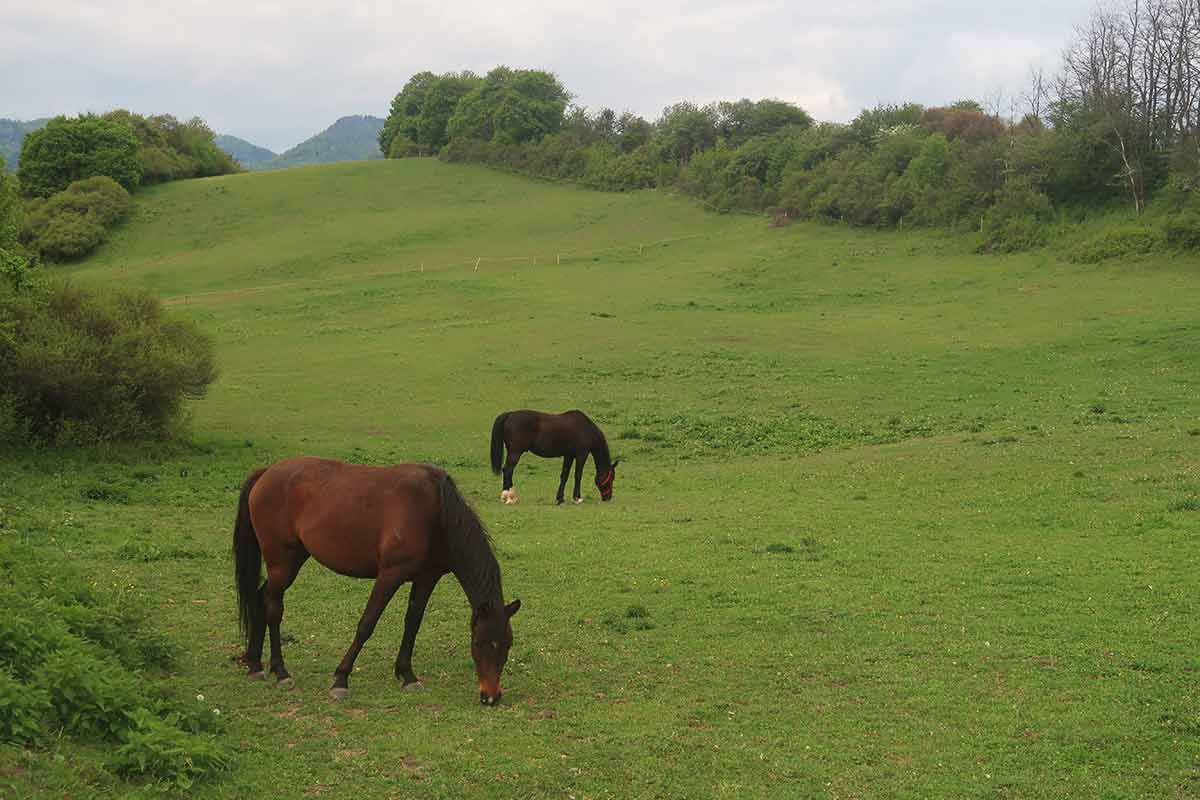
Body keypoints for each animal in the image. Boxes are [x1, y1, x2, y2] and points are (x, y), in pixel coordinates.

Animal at [229, 455, 520, 705]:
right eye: (481, 643)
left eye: (507, 644)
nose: (491, 696)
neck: (435, 510)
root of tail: (266, 472)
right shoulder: (390, 574)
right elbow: (367, 623)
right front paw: (341, 679)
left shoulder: (427, 578)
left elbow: (412, 623)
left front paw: (407, 675)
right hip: (281, 561)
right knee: (273, 606)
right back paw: (280, 671)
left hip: (295, 557)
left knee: (260, 596)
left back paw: (255, 664)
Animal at [489, 410, 624, 503]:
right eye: (611, 478)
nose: (608, 497)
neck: (585, 430)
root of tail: (510, 415)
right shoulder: (581, 455)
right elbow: (578, 475)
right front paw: (577, 498)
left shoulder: (569, 455)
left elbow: (564, 475)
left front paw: (560, 498)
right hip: (515, 453)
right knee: (507, 470)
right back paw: (508, 497)